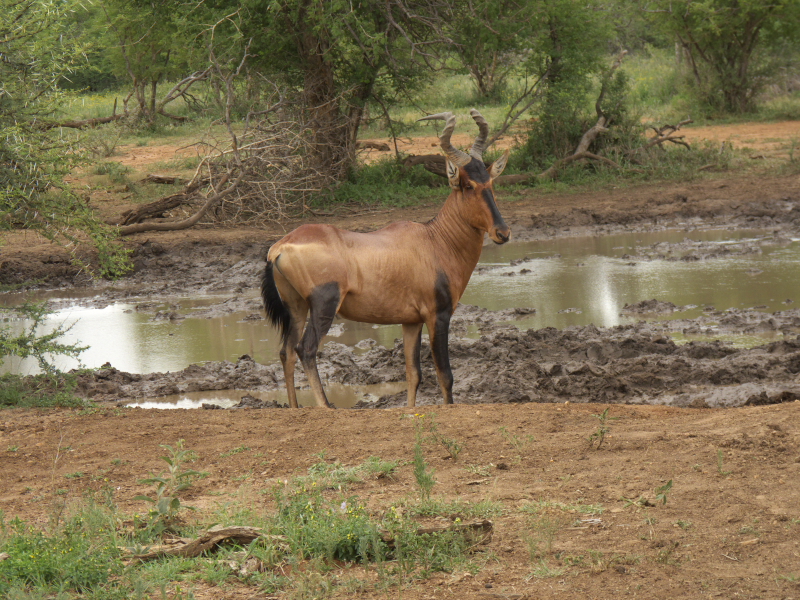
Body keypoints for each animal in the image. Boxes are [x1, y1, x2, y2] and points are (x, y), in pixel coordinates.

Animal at [261, 109, 510, 408]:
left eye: (490, 181)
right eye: (468, 184)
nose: (502, 232)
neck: (434, 239)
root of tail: (280, 247)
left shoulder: (411, 321)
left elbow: (413, 373)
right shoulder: (438, 316)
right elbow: (445, 375)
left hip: (296, 306)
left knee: (286, 351)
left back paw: (295, 408)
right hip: (324, 304)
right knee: (305, 349)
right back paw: (326, 406)